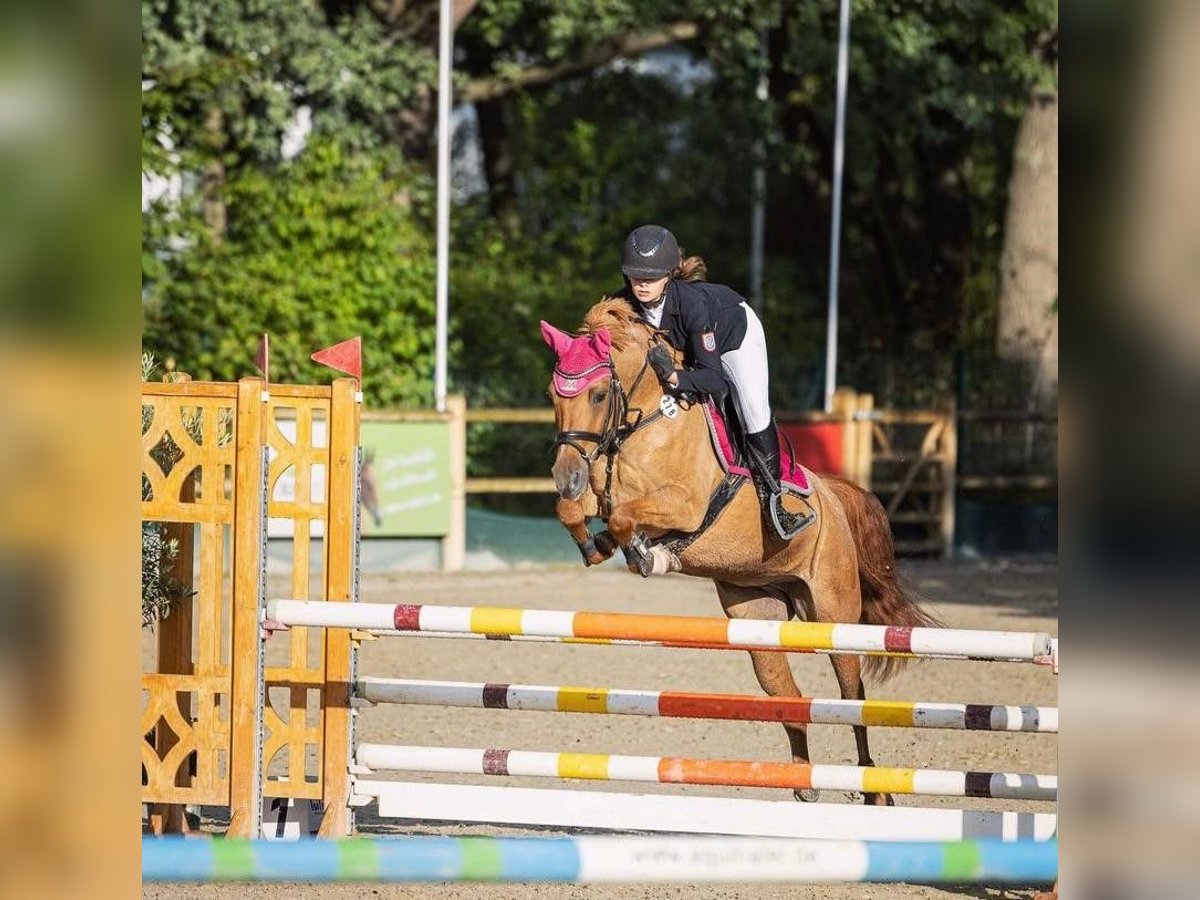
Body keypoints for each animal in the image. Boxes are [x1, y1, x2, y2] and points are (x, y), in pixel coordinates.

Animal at [540, 300, 940, 806]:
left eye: (595, 396)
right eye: (552, 396)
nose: (565, 475)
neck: (646, 420)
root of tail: (832, 494)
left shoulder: (685, 505)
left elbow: (626, 517)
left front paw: (648, 554)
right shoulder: (600, 492)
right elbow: (577, 511)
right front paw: (603, 547)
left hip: (834, 617)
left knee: (852, 695)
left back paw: (874, 791)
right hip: (758, 622)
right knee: (789, 695)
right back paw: (802, 781)